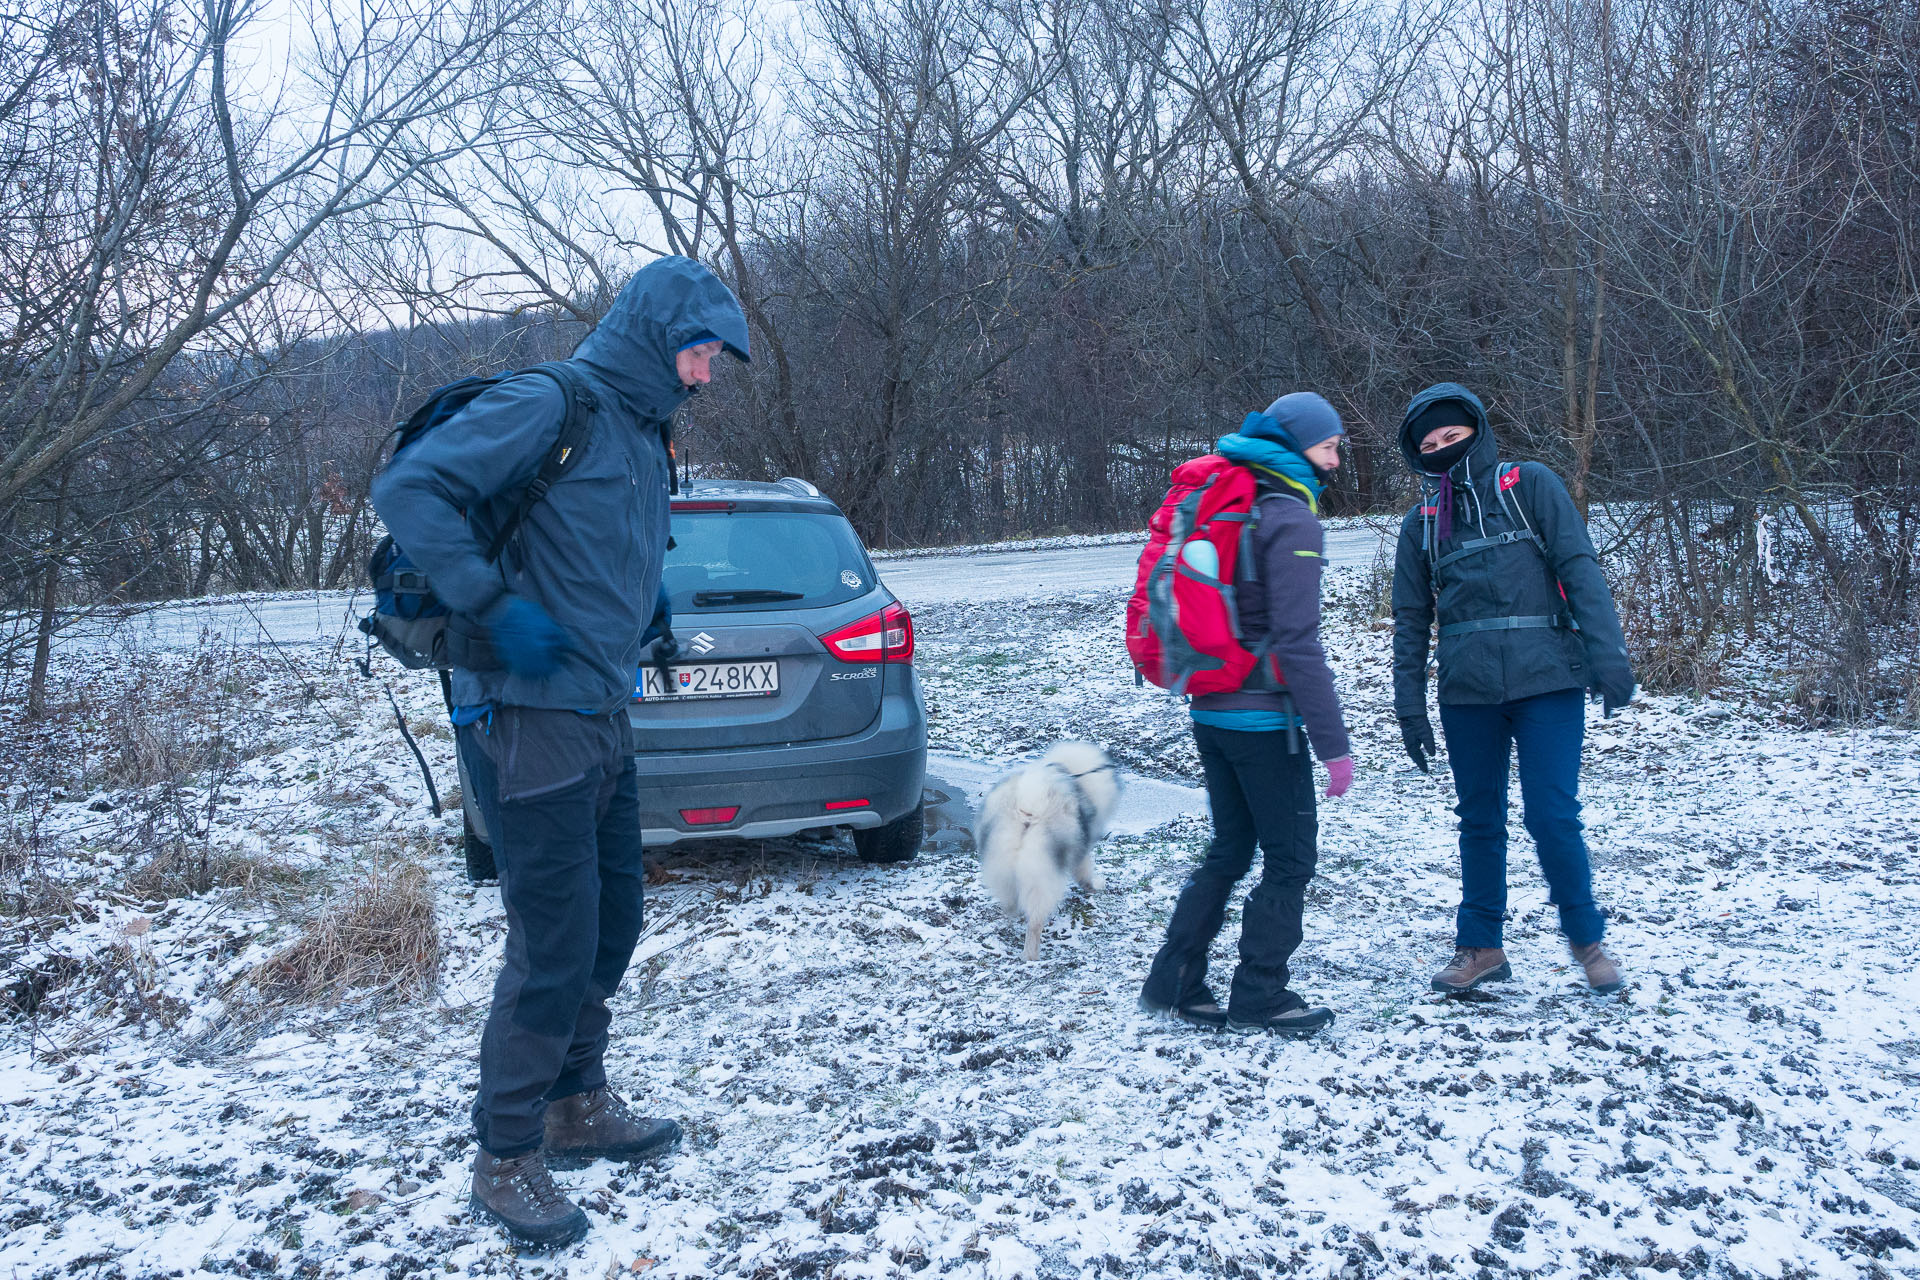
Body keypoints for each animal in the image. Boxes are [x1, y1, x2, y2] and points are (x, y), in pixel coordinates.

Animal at [975, 740, 1121, 959]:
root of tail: (1028, 806)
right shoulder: (1081, 845)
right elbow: (1085, 870)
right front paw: (1094, 885)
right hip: (1042, 873)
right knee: (1035, 922)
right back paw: (1031, 955)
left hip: (1001, 860)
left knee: (1010, 901)